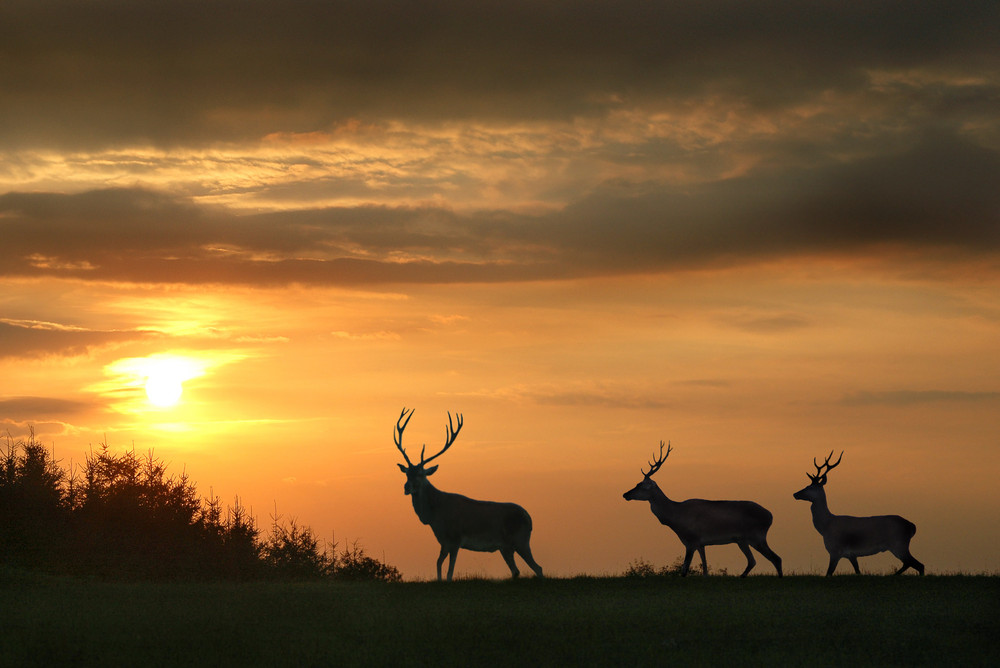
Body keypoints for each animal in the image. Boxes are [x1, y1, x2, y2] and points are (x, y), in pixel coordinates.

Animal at [392, 408, 548, 580]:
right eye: (407, 473)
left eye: (420, 474)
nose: (406, 487)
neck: (434, 517)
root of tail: (529, 518)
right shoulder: (443, 541)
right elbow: (438, 563)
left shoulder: (456, 539)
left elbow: (450, 571)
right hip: (506, 547)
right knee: (516, 571)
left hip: (521, 540)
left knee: (538, 567)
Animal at [624, 440, 780, 576]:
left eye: (640, 485)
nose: (625, 494)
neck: (676, 518)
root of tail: (770, 516)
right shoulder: (700, 543)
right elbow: (705, 570)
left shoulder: (691, 540)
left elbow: (684, 570)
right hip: (742, 540)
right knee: (754, 561)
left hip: (756, 536)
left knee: (776, 558)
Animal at [792, 454, 924, 576]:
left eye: (810, 487)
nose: (795, 494)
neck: (825, 527)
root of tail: (912, 526)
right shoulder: (851, 555)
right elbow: (858, 571)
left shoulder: (835, 550)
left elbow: (829, 573)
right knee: (910, 564)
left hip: (899, 544)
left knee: (918, 565)